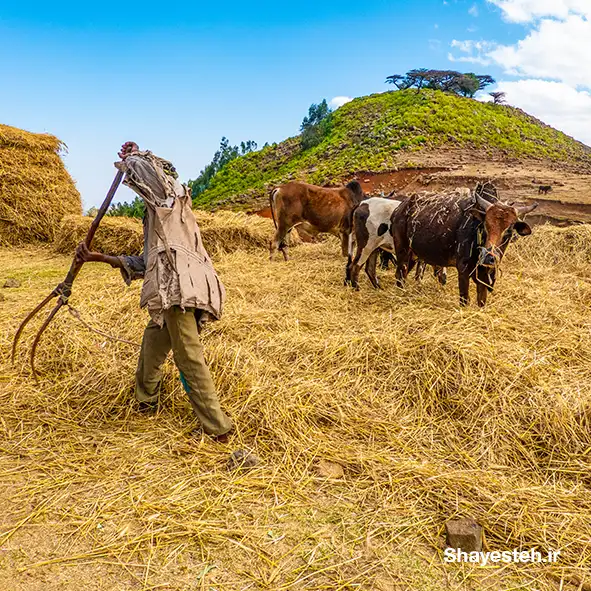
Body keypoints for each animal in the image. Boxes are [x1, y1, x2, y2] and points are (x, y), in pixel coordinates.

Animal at [390, 188, 540, 310]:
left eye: (509, 231)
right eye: (484, 226)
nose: (489, 258)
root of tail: (400, 208)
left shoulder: (483, 276)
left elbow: (481, 301)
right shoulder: (463, 268)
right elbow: (464, 299)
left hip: (413, 255)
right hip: (403, 251)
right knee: (400, 275)